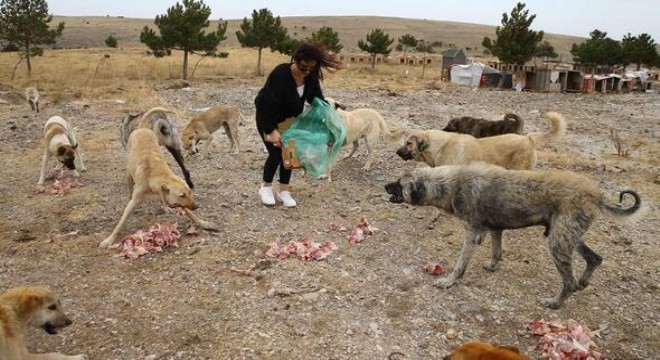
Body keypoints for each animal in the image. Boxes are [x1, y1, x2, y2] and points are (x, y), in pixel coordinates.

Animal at [384, 163, 640, 310]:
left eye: (399, 183)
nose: (385, 185)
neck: (449, 184)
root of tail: (596, 195)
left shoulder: (473, 233)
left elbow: (460, 265)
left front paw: (449, 281)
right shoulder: (496, 229)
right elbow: (497, 252)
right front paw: (492, 266)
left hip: (558, 243)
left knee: (569, 281)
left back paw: (555, 303)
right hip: (567, 237)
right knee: (594, 258)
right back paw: (584, 283)